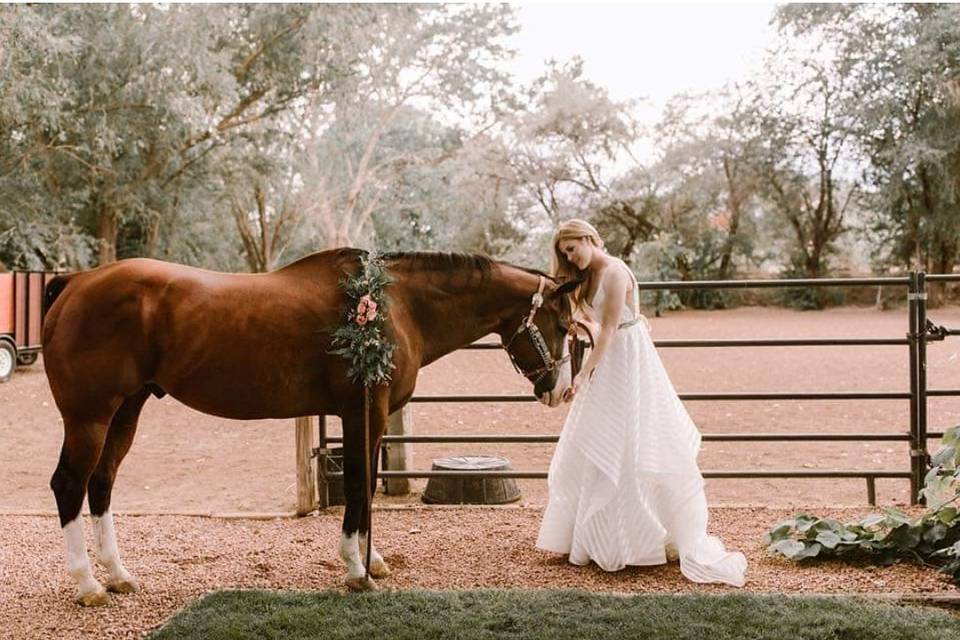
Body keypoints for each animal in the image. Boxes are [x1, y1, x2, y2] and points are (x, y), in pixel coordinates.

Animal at [43, 249, 576, 604]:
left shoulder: (369, 417)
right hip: (89, 417)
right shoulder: (364, 412)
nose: (561, 389)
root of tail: (75, 281)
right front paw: (356, 570)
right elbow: (360, 485)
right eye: (564, 325)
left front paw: (372, 560)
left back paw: (117, 575)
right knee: (69, 484)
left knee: (101, 482)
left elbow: (369, 483)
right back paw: (88, 585)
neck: (396, 307)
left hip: (125, 411)